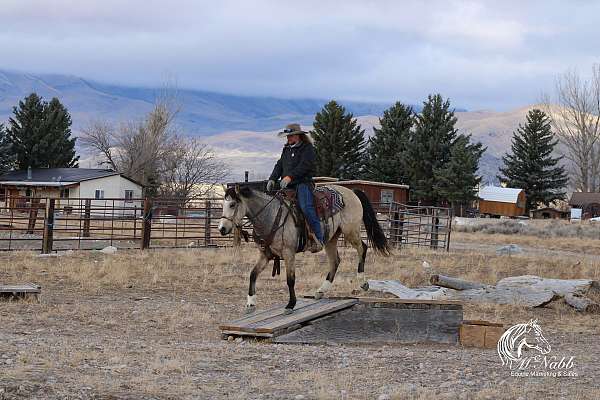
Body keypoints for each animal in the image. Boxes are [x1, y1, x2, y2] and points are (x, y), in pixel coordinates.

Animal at [218, 184, 392, 312]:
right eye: (223, 205)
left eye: (232, 204)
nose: (222, 229)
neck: (271, 216)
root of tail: (352, 192)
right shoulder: (265, 255)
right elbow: (253, 274)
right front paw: (251, 302)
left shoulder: (289, 253)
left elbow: (290, 279)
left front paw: (291, 304)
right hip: (331, 238)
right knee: (335, 260)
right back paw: (321, 290)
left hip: (351, 231)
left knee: (362, 248)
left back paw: (362, 282)